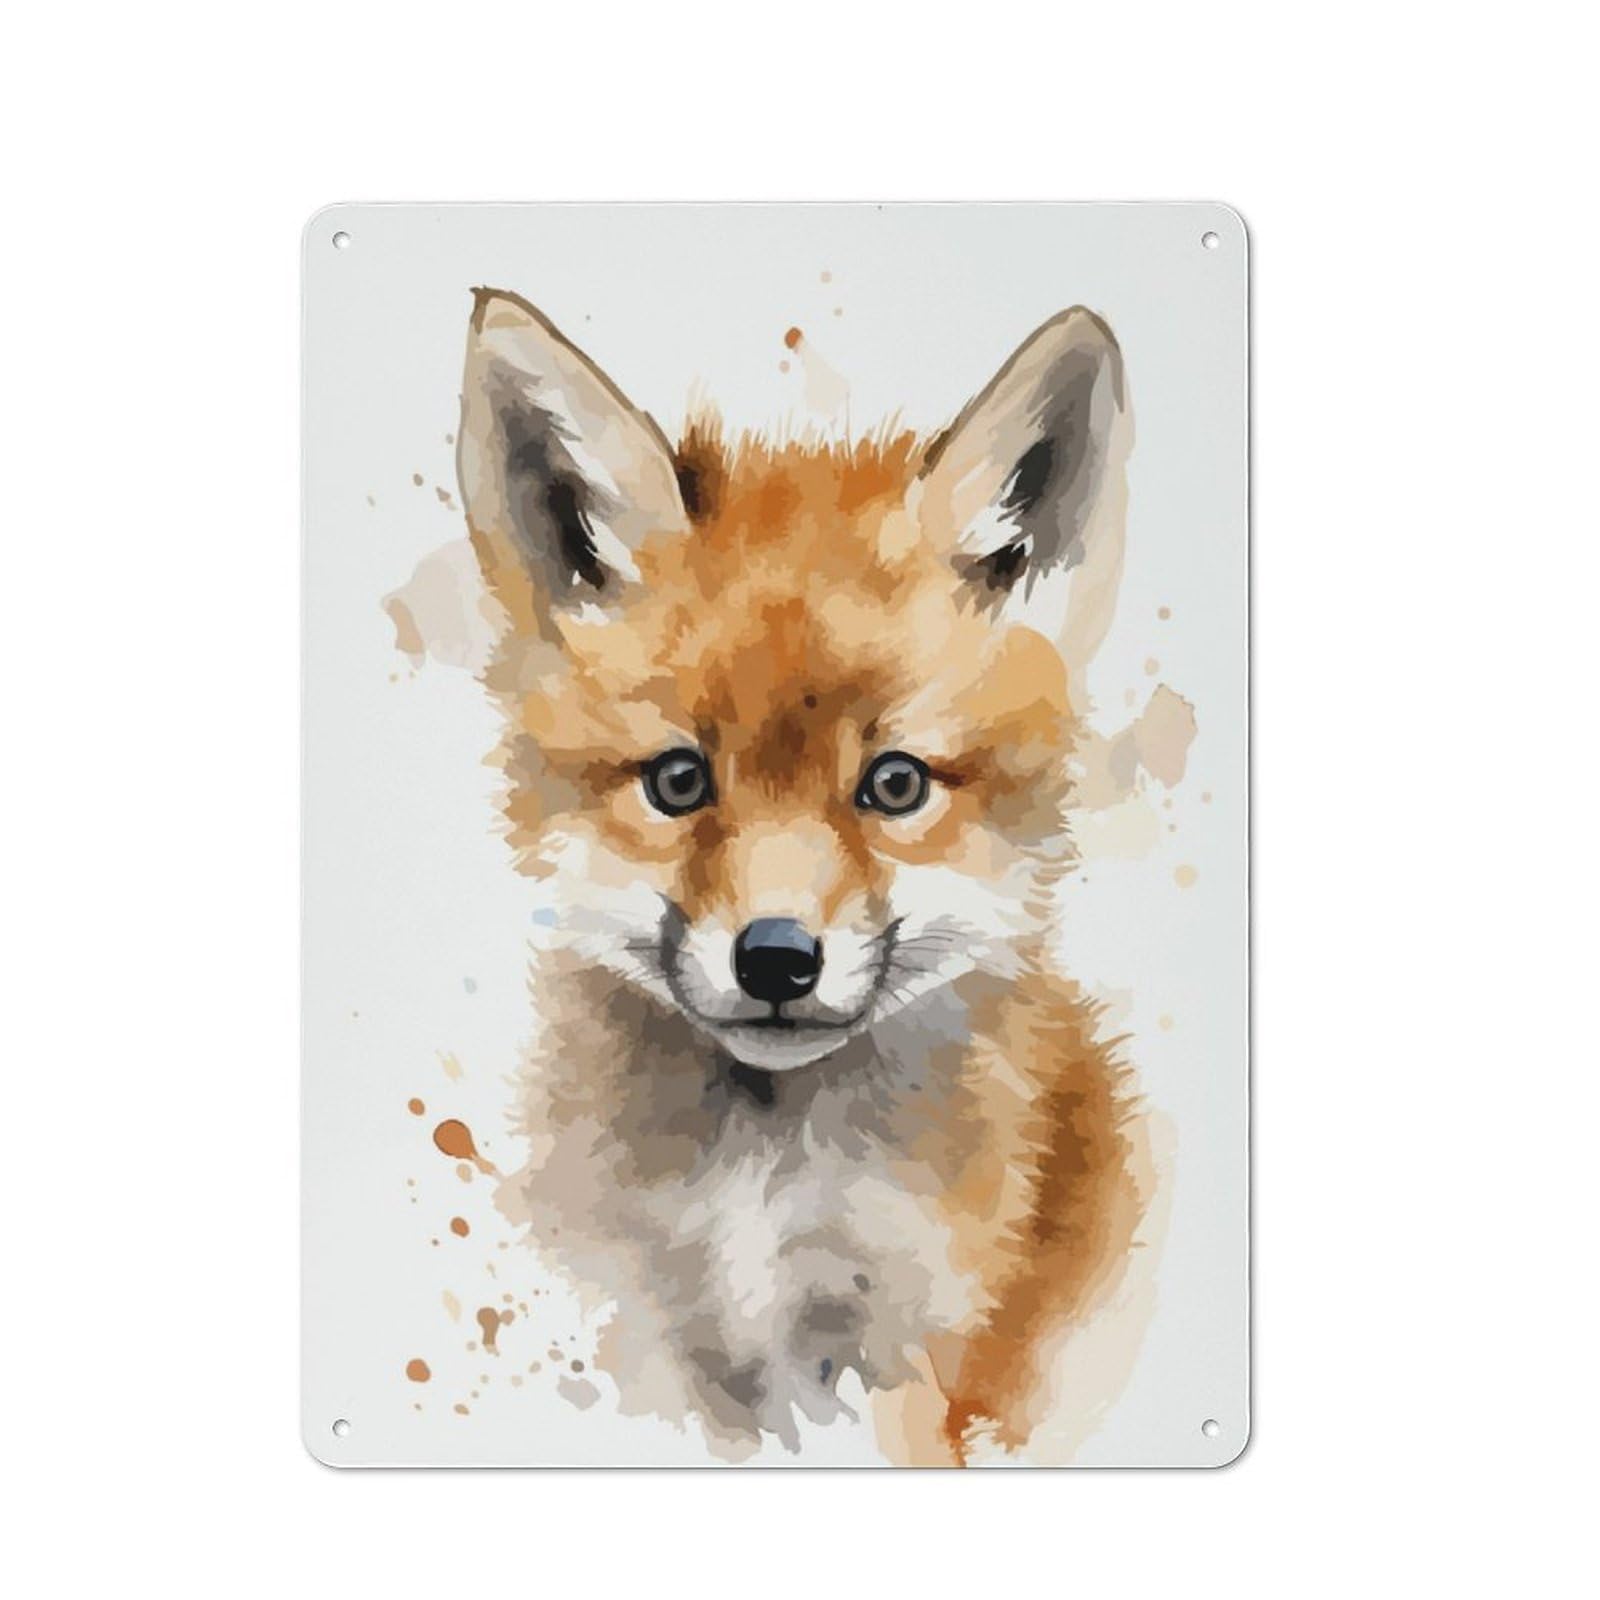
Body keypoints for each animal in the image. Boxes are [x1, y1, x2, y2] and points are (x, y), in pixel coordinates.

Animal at [455, 287, 1151, 1464]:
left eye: (895, 784)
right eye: (679, 781)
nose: (777, 960)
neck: (766, 1200)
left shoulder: (923, 1358)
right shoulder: (644, 1329)